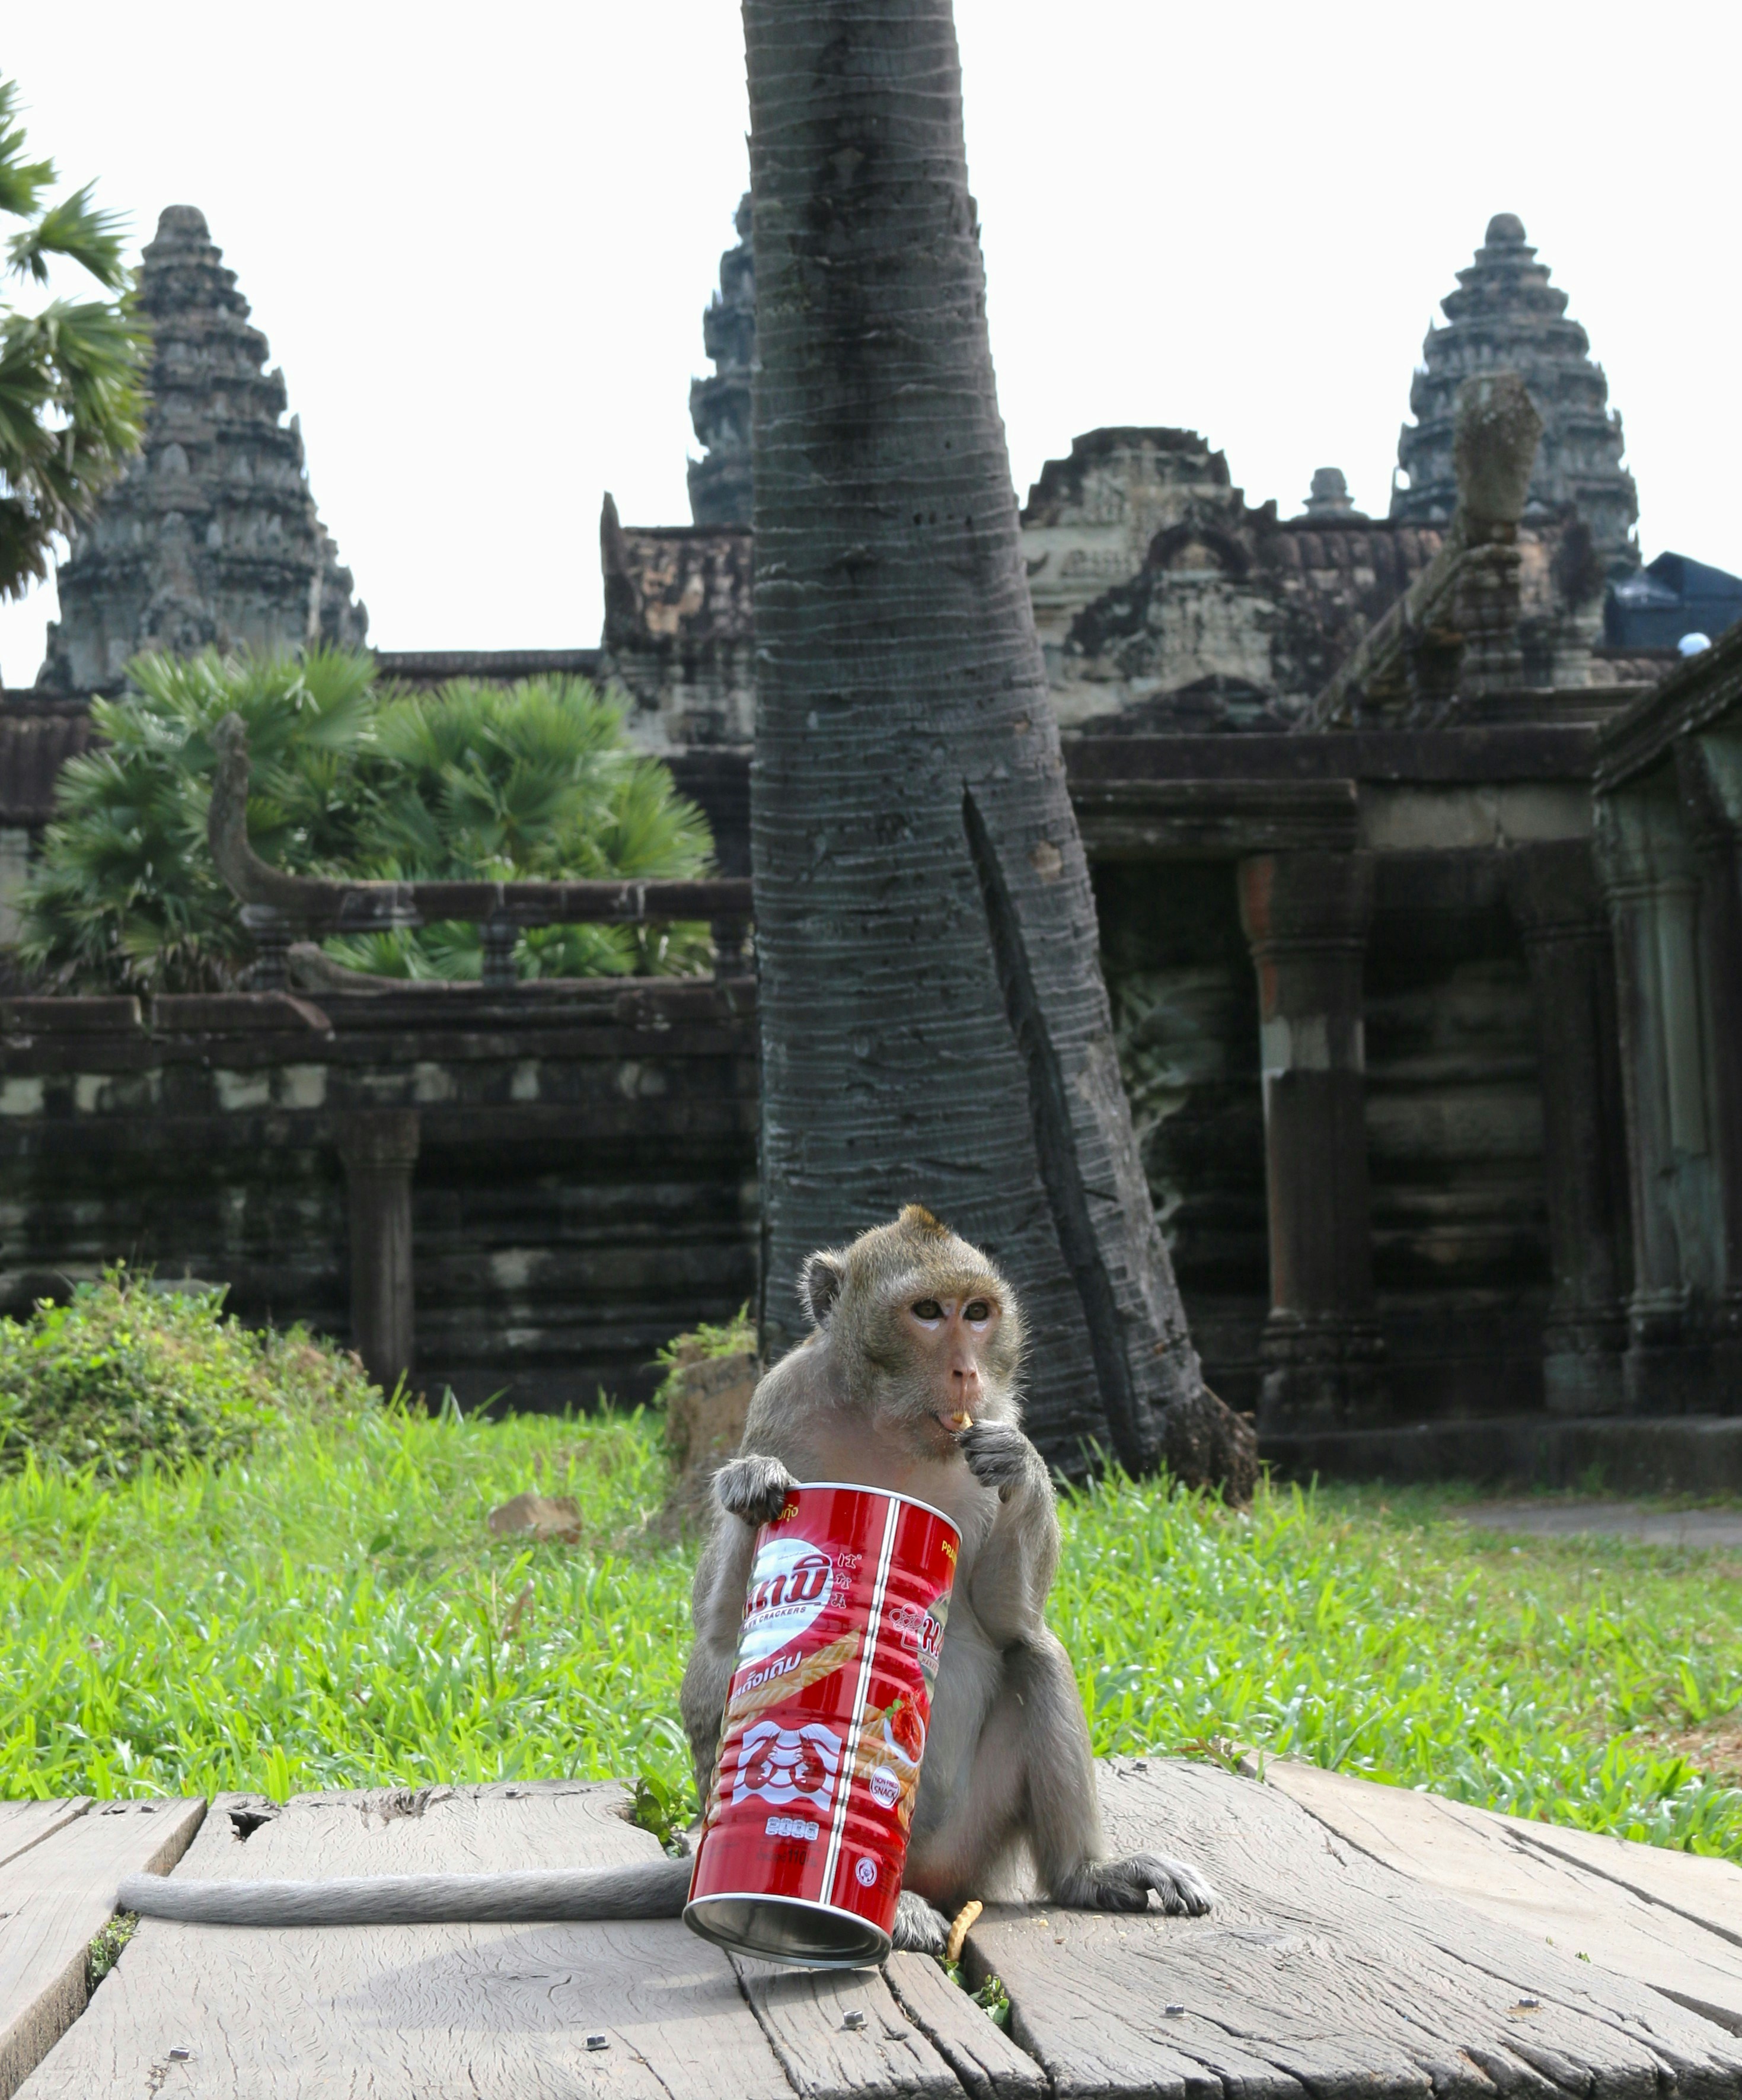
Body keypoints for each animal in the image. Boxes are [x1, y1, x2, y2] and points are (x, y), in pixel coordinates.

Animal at [121, 1207, 1213, 1947]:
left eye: (980, 1315)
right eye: (928, 1312)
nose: (962, 1371)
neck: (893, 1426)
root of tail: (937, 1873)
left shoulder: (992, 1421)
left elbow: (1008, 1609)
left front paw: (1016, 1470)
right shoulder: (778, 1405)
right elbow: (721, 1631)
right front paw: (748, 1492)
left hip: (980, 1837)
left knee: (1036, 1653)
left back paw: (1086, 1876)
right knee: (721, 1678)